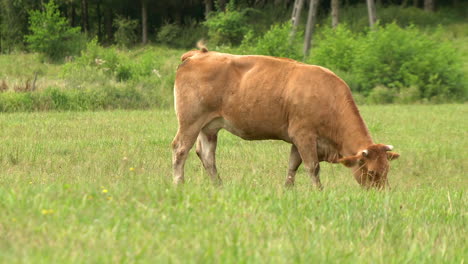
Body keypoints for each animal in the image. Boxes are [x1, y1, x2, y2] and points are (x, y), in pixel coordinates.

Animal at [172, 44, 398, 189]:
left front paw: (288, 189)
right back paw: (179, 184)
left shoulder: (297, 141)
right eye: (371, 172)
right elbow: (312, 167)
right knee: (180, 150)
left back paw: (218, 186)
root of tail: (198, 54)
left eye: (387, 170)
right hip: (190, 121)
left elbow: (292, 166)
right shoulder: (304, 136)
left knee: (207, 155)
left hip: (209, 126)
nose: (381, 194)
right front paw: (318, 192)